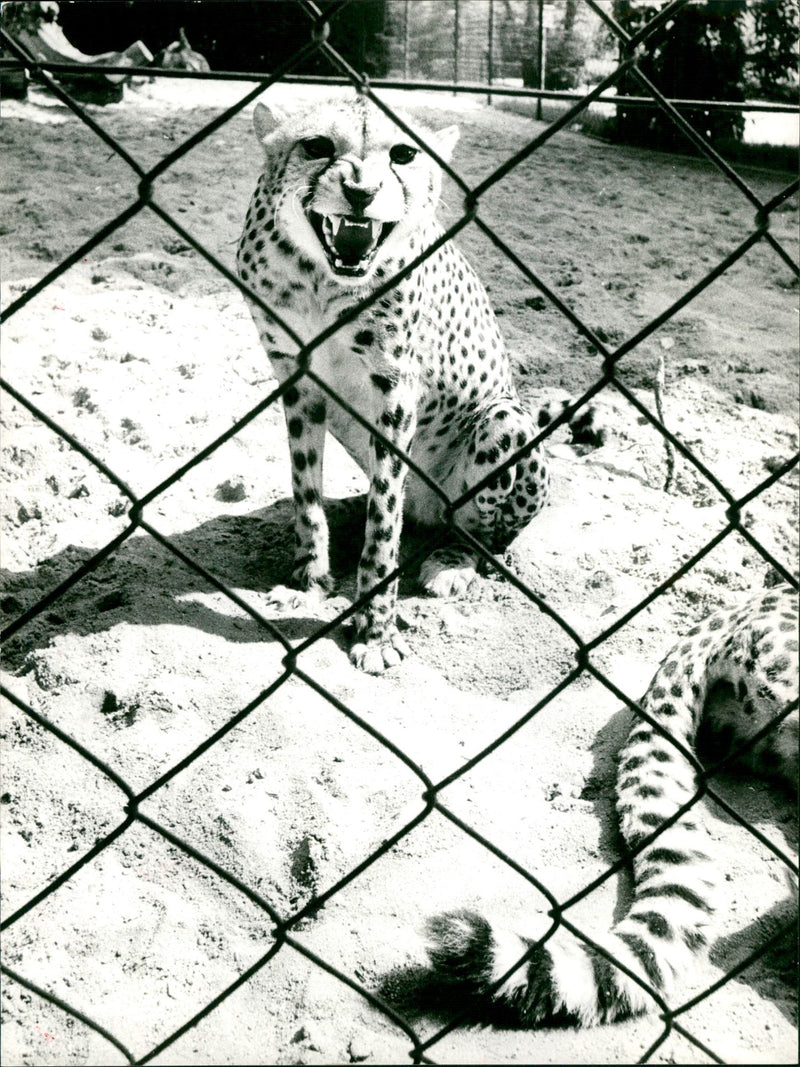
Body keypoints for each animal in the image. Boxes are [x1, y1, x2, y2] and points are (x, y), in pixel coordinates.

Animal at [236, 93, 594, 674]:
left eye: (403, 154)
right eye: (316, 147)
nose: (361, 192)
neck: (322, 281)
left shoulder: (396, 388)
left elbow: (385, 524)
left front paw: (376, 629)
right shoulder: (297, 379)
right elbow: (305, 490)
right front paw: (309, 581)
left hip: (503, 422)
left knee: (483, 534)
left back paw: (453, 561)